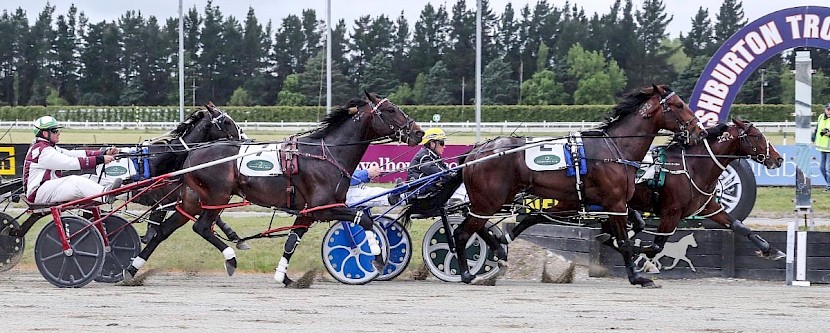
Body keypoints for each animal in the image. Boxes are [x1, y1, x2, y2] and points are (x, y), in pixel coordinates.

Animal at [178, 92, 420, 284]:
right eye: (390, 110)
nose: (418, 132)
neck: (327, 154)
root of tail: (192, 154)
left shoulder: (308, 212)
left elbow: (291, 242)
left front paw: (283, 277)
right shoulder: (325, 208)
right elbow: (365, 219)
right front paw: (376, 258)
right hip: (218, 196)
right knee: (201, 227)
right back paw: (231, 258)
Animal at [458, 84, 704, 286]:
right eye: (679, 105)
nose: (699, 131)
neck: (614, 148)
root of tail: (476, 151)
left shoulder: (585, 201)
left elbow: (535, 216)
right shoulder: (615, 202)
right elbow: (624, 241)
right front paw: (637, 277)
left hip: (493, 200)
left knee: (477, 227)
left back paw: (497, 252)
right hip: (489, 201)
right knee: (462, 232)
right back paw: (467, 274)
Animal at [632, 118, 788, 264]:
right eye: (757, 136)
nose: (779, 159)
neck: (692, 167)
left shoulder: (708, 207)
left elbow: (738, 225)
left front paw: (771, 250)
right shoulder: (671, 213)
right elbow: (655, 247)